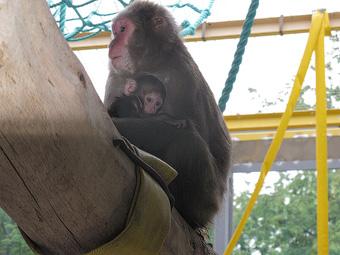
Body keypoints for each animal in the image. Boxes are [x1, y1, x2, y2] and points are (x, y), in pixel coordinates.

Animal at [104, 0, 231, 229]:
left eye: (123, 29)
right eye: (115, 30)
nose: (112, 44)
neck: (154, 64)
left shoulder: (182, 77)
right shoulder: (116, 77)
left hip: (207, 200)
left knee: (189, 141)